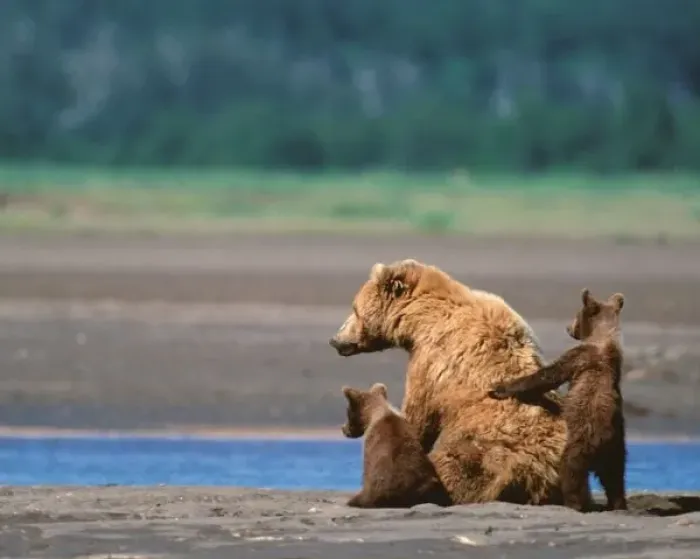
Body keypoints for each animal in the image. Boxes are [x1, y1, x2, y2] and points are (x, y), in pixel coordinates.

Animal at [329, 258, 568, 505]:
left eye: (355, 310)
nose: (335, 340)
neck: (420, 319)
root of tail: (538, 476)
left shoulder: (432, 361)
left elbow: (418, 414)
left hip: (483, 450)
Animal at [488, 288, 627, 512]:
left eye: (576, 315)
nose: (568, 328)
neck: (603, 337)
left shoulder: (580, 357)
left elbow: (547, 376)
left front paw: (499, 388)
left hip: (583, 439)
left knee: (571, 470)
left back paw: (573, 502)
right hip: (616, 447)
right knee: (615, 478)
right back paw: (618, 504)